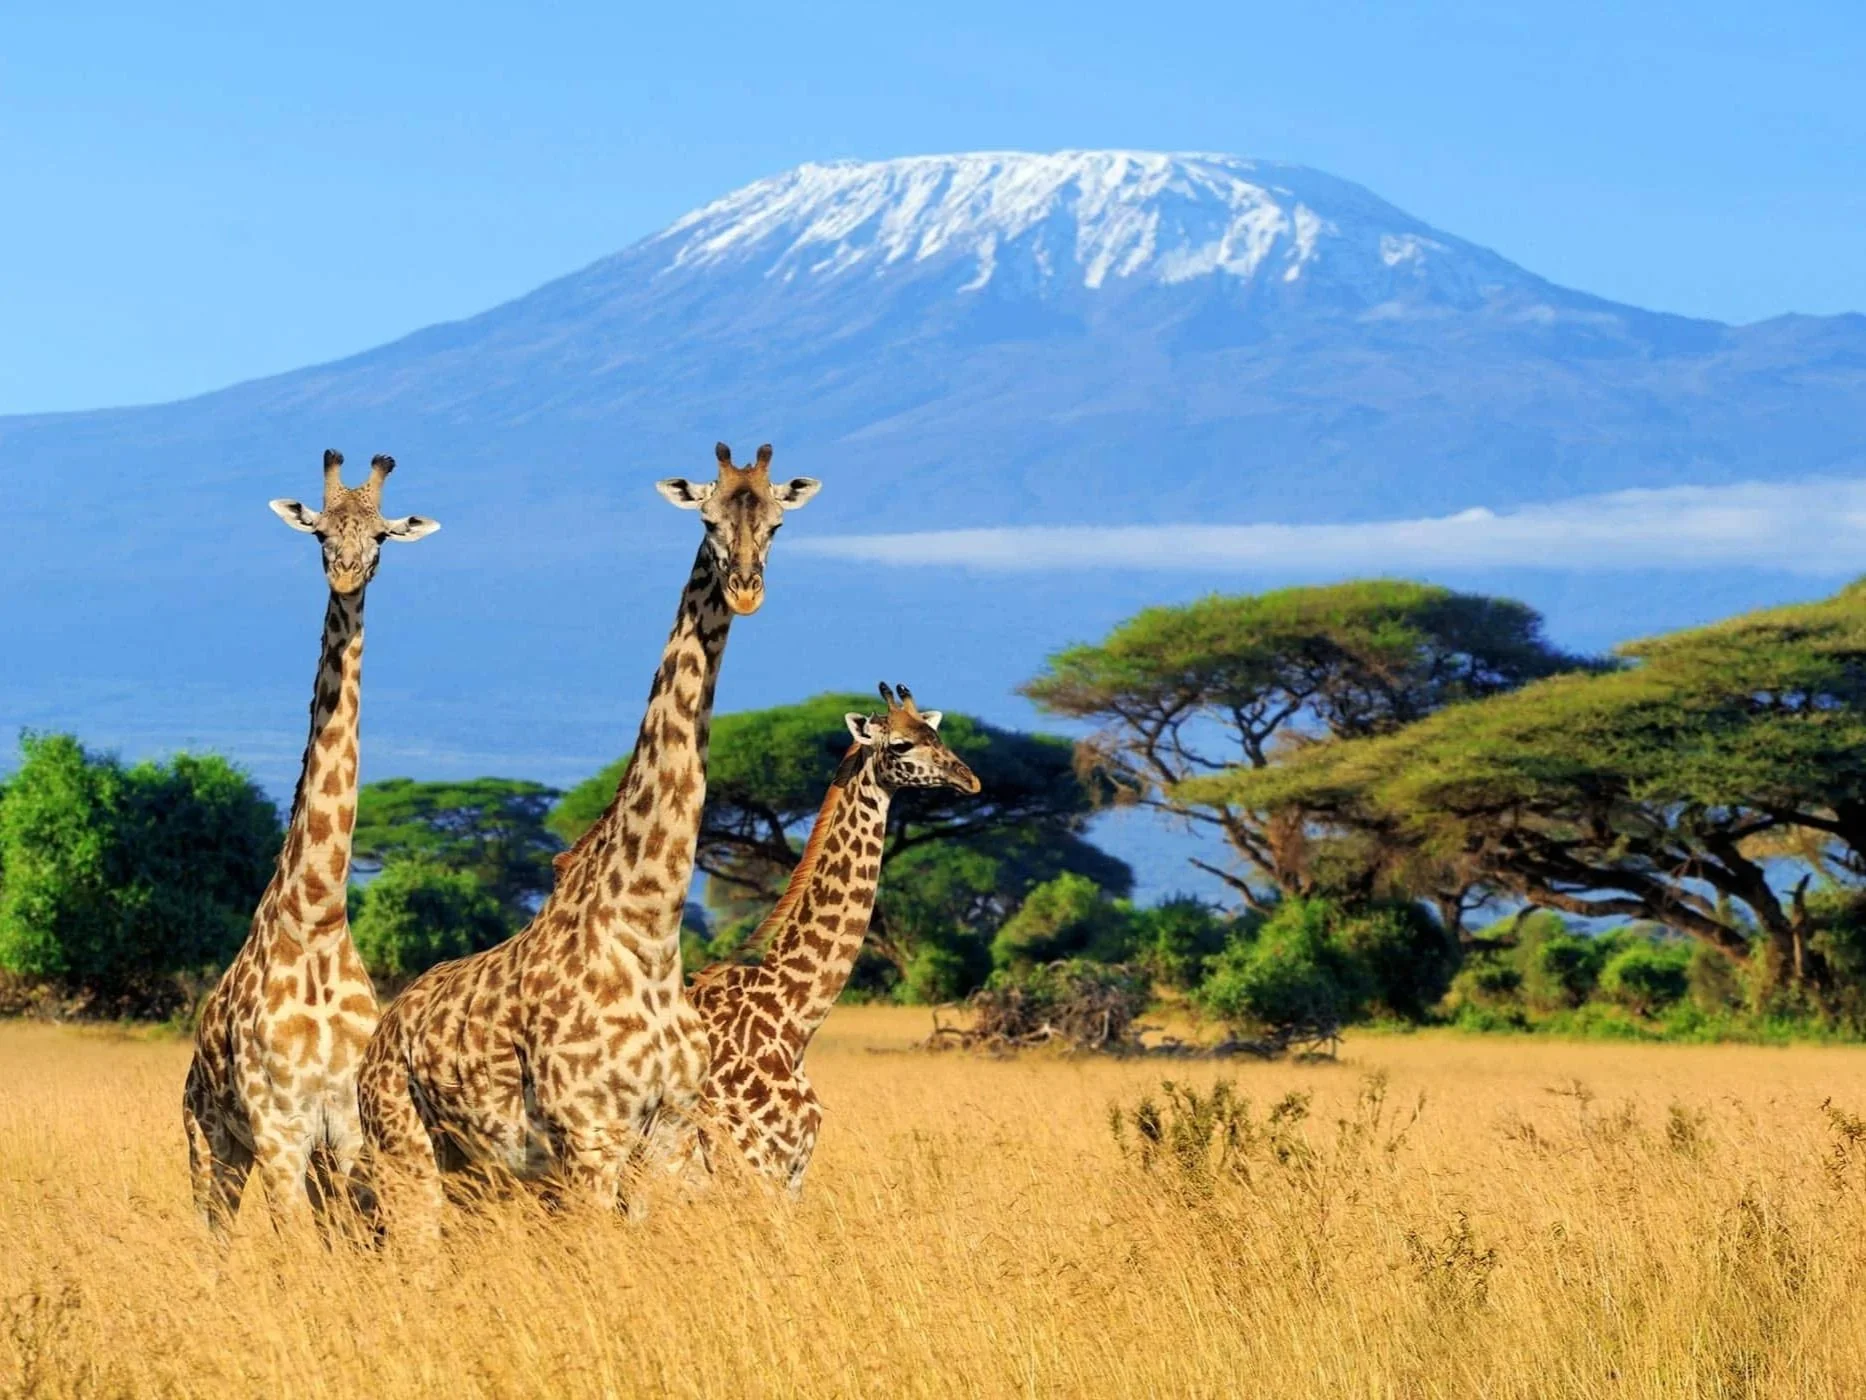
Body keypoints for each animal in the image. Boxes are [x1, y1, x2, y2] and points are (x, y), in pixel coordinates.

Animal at [182, 450, 440, 1237]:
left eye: (381, 536)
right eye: (320, 532)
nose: (347, 573)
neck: (319, 916)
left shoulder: (346, 1129)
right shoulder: (279, 1128)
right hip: (210, 1142)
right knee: (213, 1235)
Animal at [358, 442, 819, 1236]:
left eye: (777, 523)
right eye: (707, 519)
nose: (745, 590)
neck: (648, 929)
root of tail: (378, 1040)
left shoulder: (667, 1135)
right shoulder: (590, 1137)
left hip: (472, 1169)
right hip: (404, 1149)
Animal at [684, 682, 979, 1193]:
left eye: (936, 735)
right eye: (900, 744)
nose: (971, 780)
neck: (792, 1018)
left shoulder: (791, 1173)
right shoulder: (754, 1168)